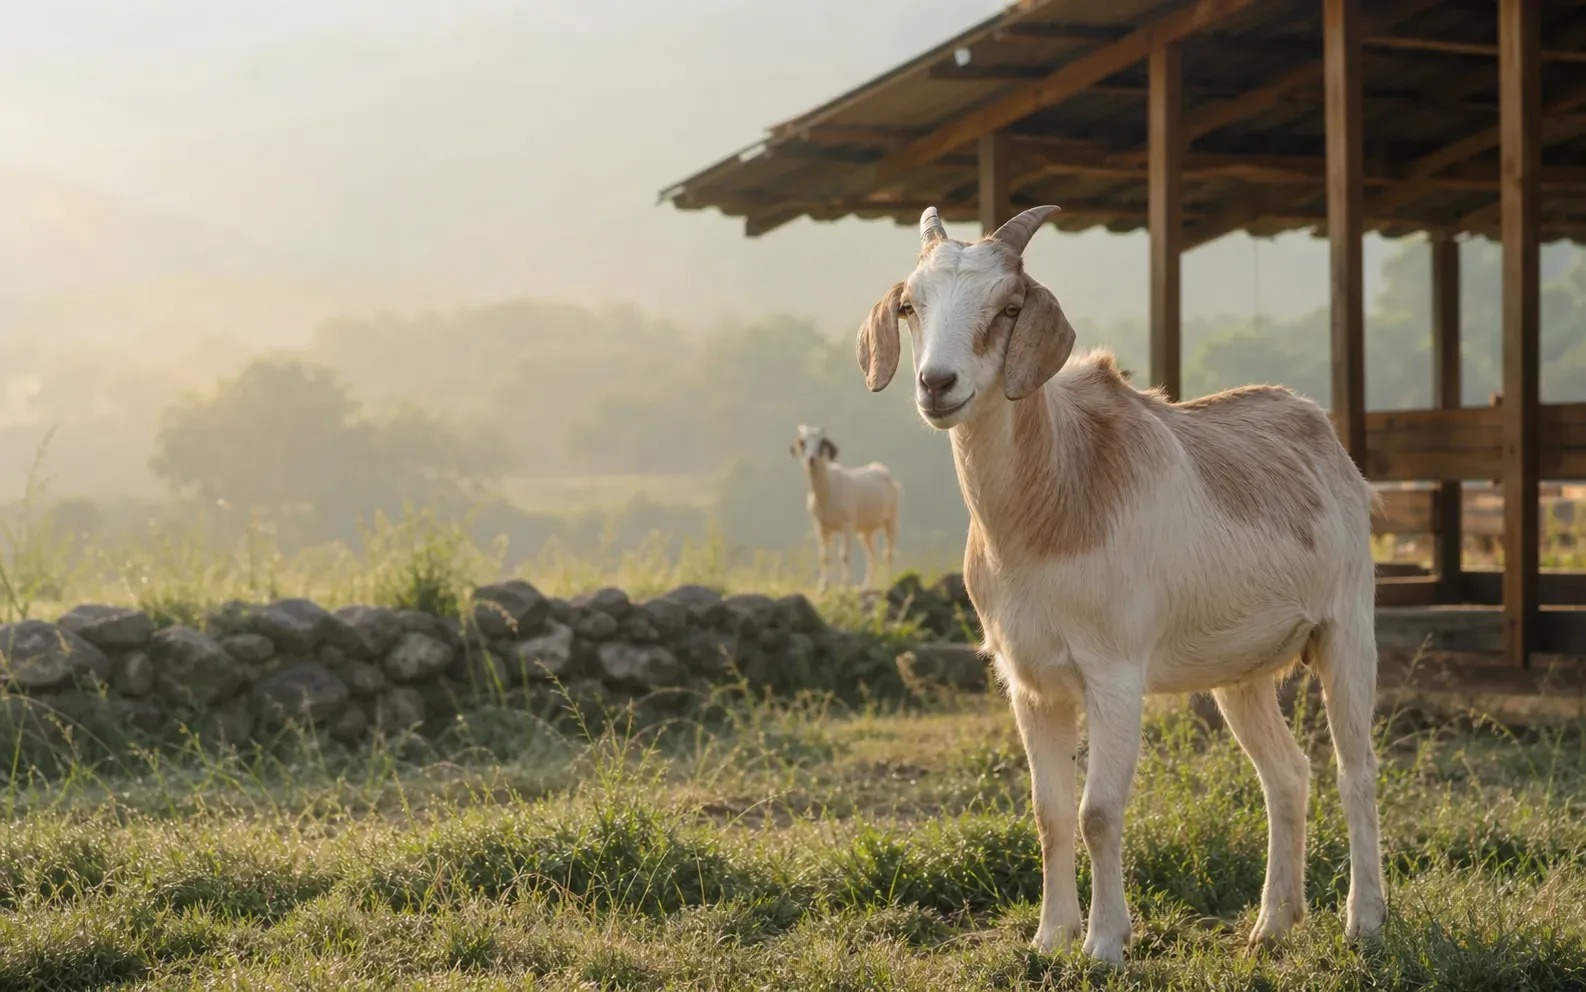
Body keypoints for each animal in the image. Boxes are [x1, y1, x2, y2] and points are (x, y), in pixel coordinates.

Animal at [790, 424, 901, 590]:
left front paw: (845, 586)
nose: (811, 459)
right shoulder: (821, 526)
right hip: (865, 531)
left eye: (821, 443)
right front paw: (823, 587)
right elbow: (824, 556)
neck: (827, 493)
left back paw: (888, 584)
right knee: (872, 556)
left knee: (888, 554)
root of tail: (885, 472)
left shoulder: (847, 524)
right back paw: (865, 586)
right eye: (803, 442)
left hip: (892, 519)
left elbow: (844, 555)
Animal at [854, 205, 1385, 963]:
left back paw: (1363, 921)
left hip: (1347, 629)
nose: (937, 384)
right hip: (1242, 674)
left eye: (1008, 306)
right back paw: (1273, 924)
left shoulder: (1113, 673)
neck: (1055, 500)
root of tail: (1316, 425)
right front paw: (1050, 938)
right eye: (910, 305)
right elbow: (1049, 813)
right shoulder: (1030, 683)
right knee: (1286, 775)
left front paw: (1105, 944)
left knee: (1355, 769)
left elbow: (1099, 811)